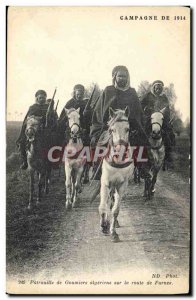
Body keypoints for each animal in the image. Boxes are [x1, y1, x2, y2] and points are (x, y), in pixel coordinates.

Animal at [99, 106, 134, 243]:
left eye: (127, 129)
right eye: (111, 130)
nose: (120, 151)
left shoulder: (122, 185)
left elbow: (115, 210)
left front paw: (113, 232)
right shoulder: (105, 183)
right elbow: (103, 206)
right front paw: (104, 225)